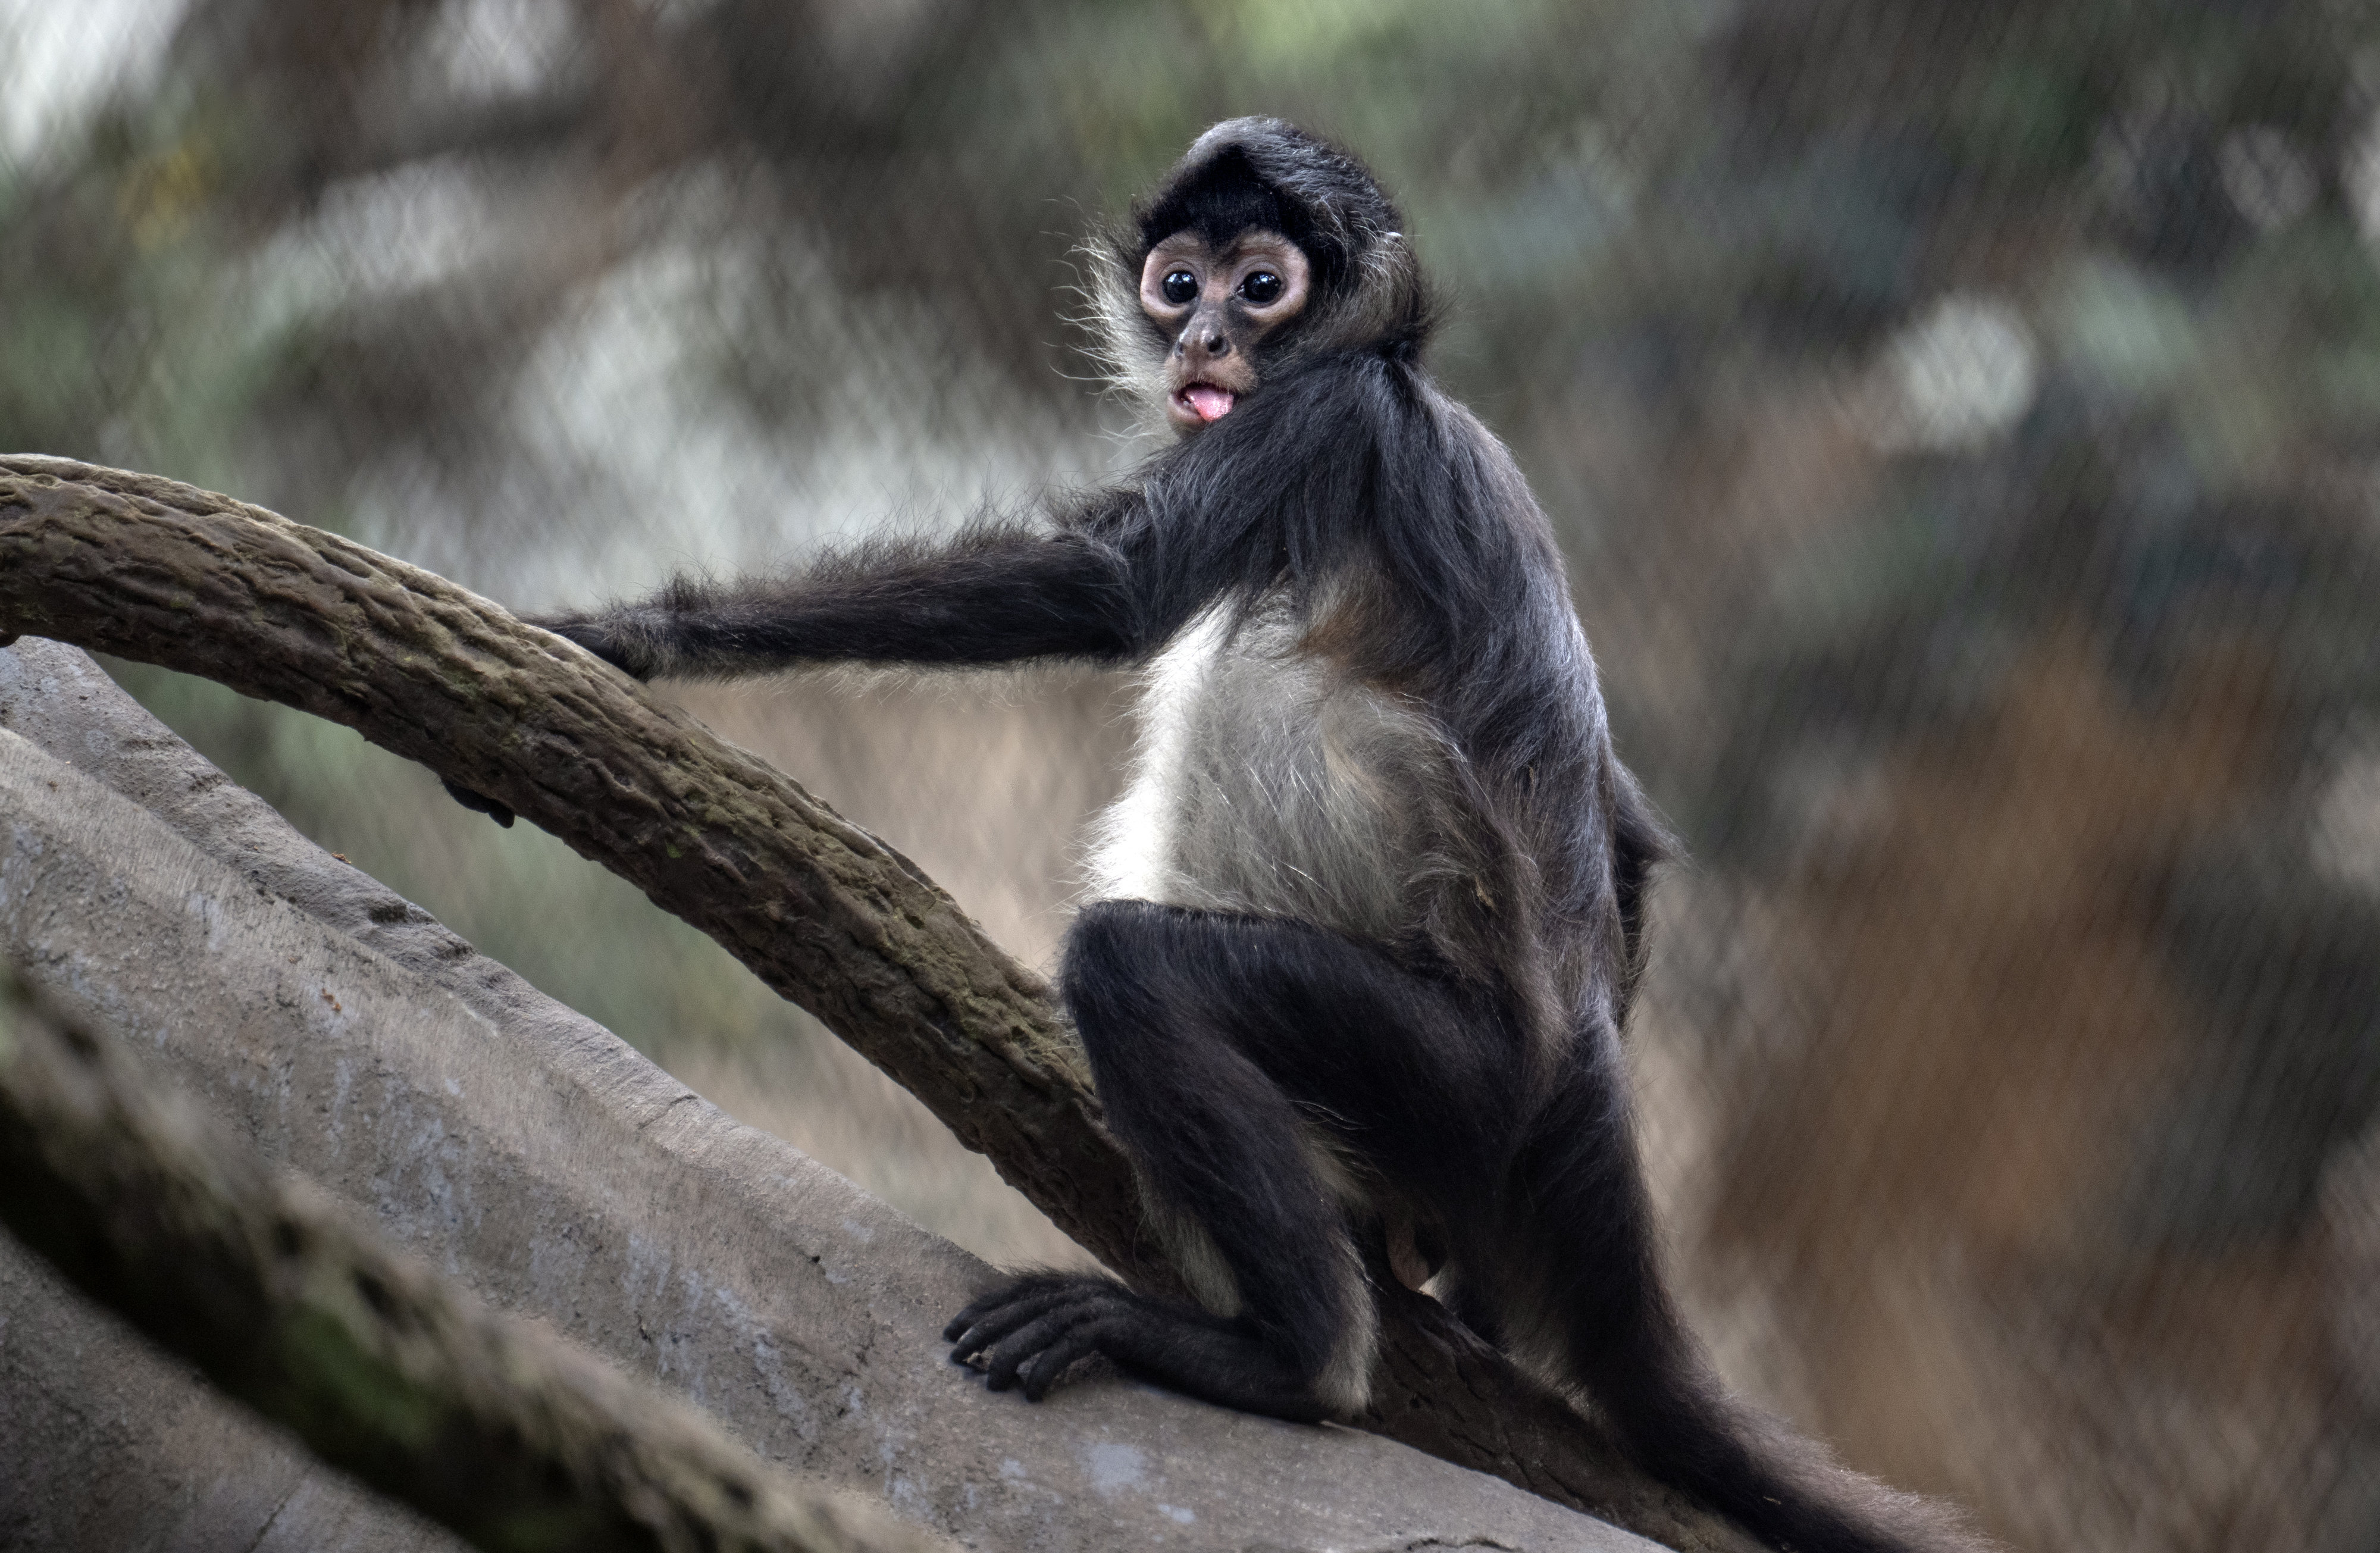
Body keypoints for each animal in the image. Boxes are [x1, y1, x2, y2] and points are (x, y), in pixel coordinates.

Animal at [479, 119, 1978, 1553]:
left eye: (1261, 287)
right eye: (1176, 284)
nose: (1201, 339)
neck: (1389, 369)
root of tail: (1585, 1064)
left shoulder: (1324, 414)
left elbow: (1108, 585)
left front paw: (634, 633)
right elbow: (1631, 828)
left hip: (1450, 1069)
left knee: (1133, 963)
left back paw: (1293, 1359)